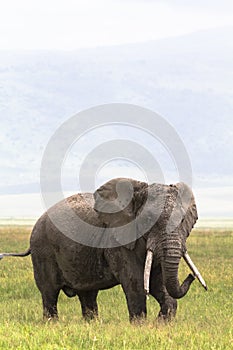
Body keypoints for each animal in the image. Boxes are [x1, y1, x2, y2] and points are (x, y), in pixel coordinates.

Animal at [0, 178, 206, 322]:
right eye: (148, 221)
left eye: (182, 221)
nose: (191, 276)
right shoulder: (116, 241)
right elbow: (136, 281)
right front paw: (140, 326)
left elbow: (157, 282)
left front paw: (161, 324)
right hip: (42, 249)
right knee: (49, 292)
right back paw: (52, 324)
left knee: (87, 294)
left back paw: (92, 324)